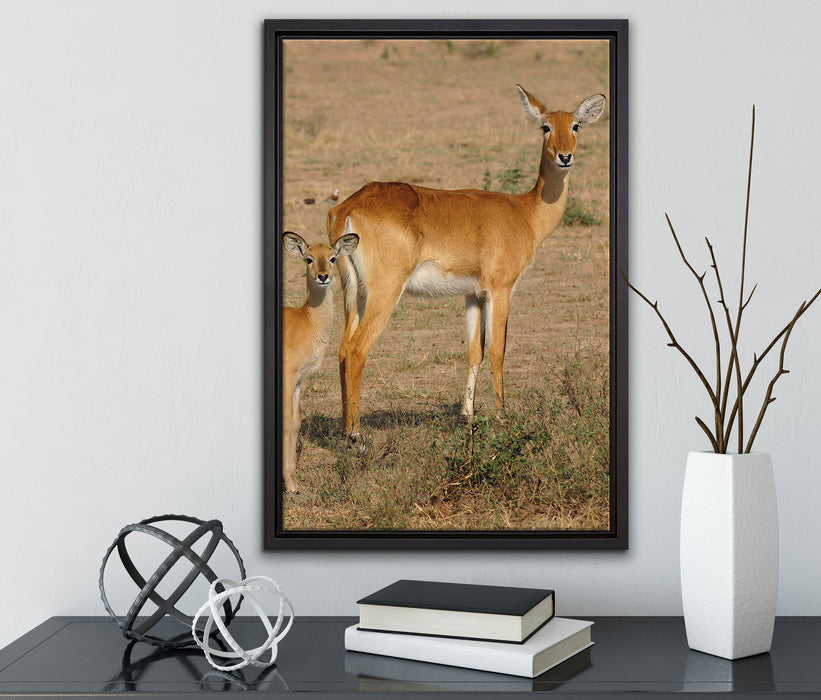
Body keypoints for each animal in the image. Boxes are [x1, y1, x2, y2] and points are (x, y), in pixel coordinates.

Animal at [282, 220, 359, 492]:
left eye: (333, 257)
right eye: (309, 258)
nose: (323, 276)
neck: (307, 321)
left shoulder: (299, 381)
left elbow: (295, 423)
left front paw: (293, 481)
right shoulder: (288, 377)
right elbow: (286, 422)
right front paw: (290, 485)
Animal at [327, 86, 606, 446]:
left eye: (576, 126)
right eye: (545, 126)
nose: (565, 156)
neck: (526, 213)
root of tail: (348, 206)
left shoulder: (473, 294)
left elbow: (475, 351)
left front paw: (467, 415)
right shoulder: (501, 290)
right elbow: (498, 350)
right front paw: (501, 418)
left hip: (354, 292)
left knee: (342, 349)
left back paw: (344, 429)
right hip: (385, 291)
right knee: (357, 349)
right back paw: (356, 435)